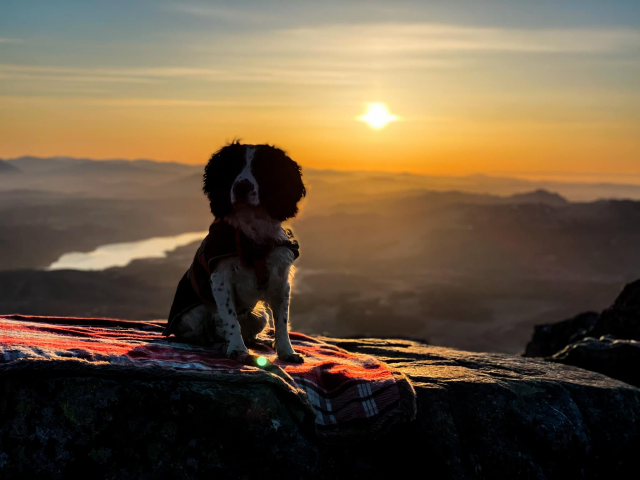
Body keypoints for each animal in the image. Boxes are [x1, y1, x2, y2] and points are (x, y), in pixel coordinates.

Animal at [164, 142, 306, 364]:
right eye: (232, 167)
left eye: (261, 167)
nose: (242, 187)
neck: (252, 234)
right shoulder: (220, 279)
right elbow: (230, 319)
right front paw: (237, 349)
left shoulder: (280, 280)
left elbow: (282, 322)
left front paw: (286, 351)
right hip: (195, 316)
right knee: (204, 336)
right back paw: (222, 344)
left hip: (259, 316)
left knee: (251, 334)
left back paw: (264, 341)